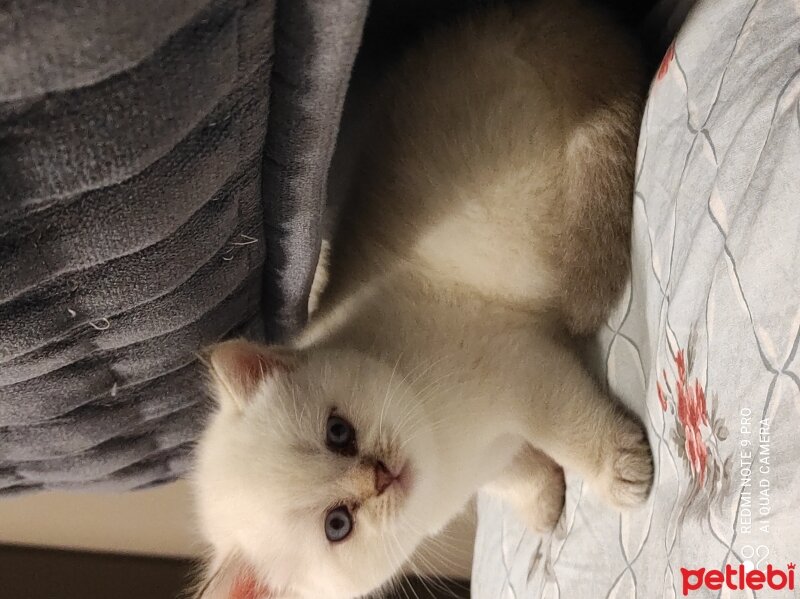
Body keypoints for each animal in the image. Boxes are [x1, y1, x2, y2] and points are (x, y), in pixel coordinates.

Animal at [192, 2, 648, 596]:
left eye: (338, 433)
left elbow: (569, 432)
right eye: (337, 525)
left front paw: (621, 473)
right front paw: (546, 506)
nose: (381, 476)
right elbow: (519, 475)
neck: (444, 455)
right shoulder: (494, 454)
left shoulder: (524, 371)